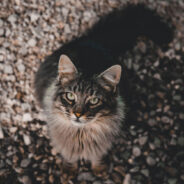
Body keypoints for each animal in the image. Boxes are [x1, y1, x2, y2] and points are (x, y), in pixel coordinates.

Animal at [34, 3, 172, 172]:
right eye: (70, 96)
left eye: (94, 100)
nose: (78, 114)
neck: (81, 134)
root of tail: (92, 40)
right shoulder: (65, 145)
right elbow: (69, 156)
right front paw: (69, 170)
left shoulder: (101, 146)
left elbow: (97, 157)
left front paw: (99, 169)